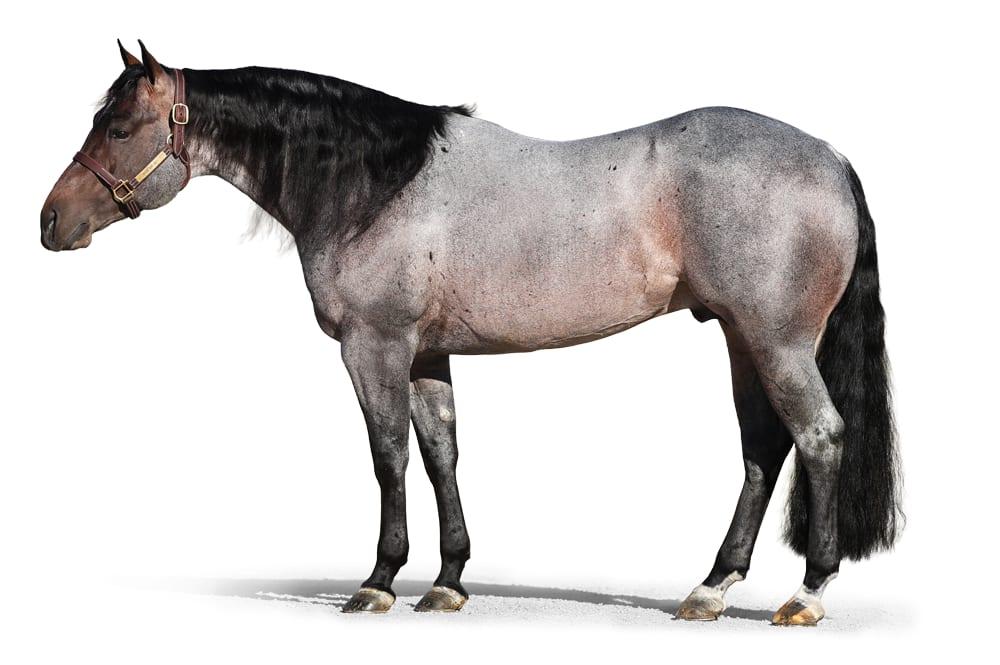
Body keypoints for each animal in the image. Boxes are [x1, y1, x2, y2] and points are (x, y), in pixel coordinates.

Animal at [40, 41, 901, 625]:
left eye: (120, 125)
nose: (51, 221)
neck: (371, 183)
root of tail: (829, 157)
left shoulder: (375, 347)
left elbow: (388, 455)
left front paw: (379, 579)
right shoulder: (427, 352)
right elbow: (440, 453)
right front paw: (448, 579)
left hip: (777, 341)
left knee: (819, 435)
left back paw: (807, 592)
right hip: (740, 337)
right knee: (763, 448)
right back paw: (712, 588)